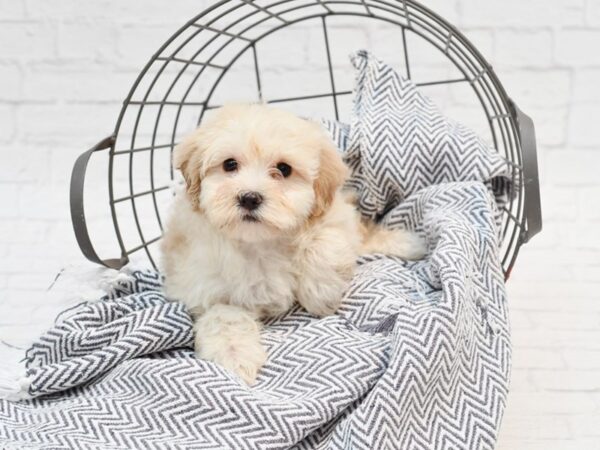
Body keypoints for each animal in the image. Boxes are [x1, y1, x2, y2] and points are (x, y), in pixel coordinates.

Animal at [159, 103, 422, 384]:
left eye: (284, 169)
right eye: (229, 164)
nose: (249, 198)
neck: (259, 242)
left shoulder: (335, 216)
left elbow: (324, 240)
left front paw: (322, 294)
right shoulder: (202, 286)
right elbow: (222, 315)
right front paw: (235, 355)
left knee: (365, 234)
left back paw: (408, 242)